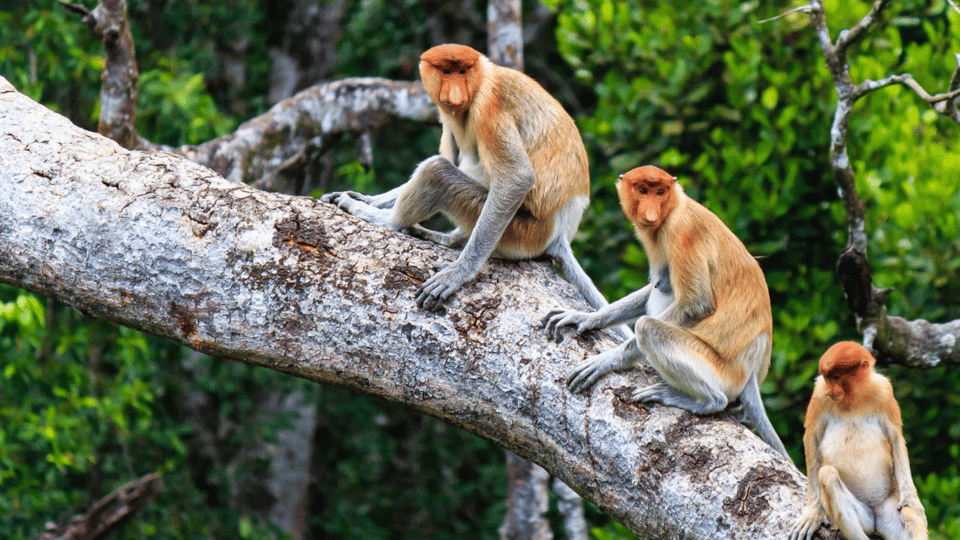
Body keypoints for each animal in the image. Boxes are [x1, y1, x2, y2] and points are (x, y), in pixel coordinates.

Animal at [324, 43, 632, 338]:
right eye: (445, 71)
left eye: (462, 72)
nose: (455, 95)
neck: (482, 78)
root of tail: (559, 233)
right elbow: (451, 155)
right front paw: (364, 197)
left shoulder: (487, 108)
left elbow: (516, 178)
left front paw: (456, 275)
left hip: (522, 232)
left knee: (437, 172)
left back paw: (388, 221)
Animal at [544, 163, 792, 456]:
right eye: (642, 190)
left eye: (660, 192)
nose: (651, 213)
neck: (675, 206)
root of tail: (752, 369)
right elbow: (651, 288)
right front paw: (585, 318)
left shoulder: (681, 232)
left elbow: (696, 304)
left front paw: (608, 360)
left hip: (719, 370)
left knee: (650, 326)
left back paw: (704, 401)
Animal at [788, 342, 928, 540]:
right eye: (827, 379)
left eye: (836, 377)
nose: (831, 391)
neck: (853, 398)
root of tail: (875, 515)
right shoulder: (820, 395)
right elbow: (812, 440)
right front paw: (813, 515)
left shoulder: (884, 391)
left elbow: (896, 438)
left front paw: (912, 499)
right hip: (864, 518)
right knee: (828, 475)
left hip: (888, 509)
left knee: (908, 513)